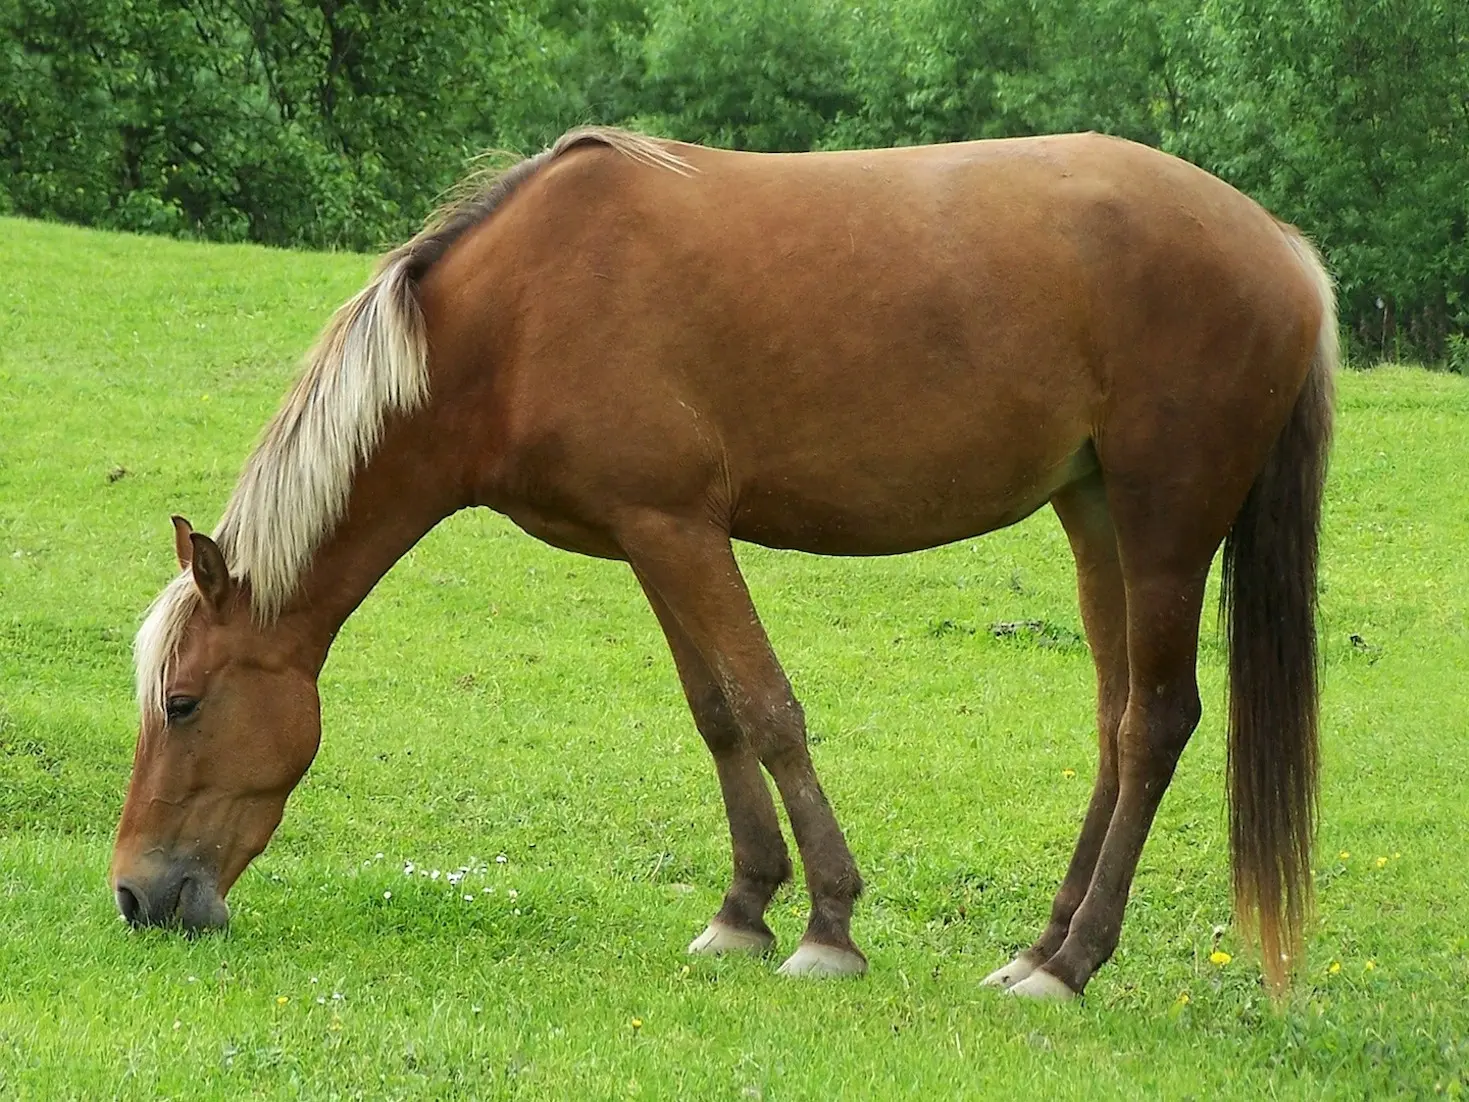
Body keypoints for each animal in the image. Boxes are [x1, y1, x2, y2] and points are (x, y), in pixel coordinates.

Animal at [111, 129, 1333, 999]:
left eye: (182, 704)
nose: (134, 894)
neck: (513, 319)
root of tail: (1282, 246)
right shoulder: (652, 534)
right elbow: (716, 715)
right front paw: (743, 910)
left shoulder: (681, 530)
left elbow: (768, 708)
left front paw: (828, 926)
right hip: (1095, 516)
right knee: (1115, 723)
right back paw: (1041, 947)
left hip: (1165, 520)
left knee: (1154, 721)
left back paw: (1070, 966)